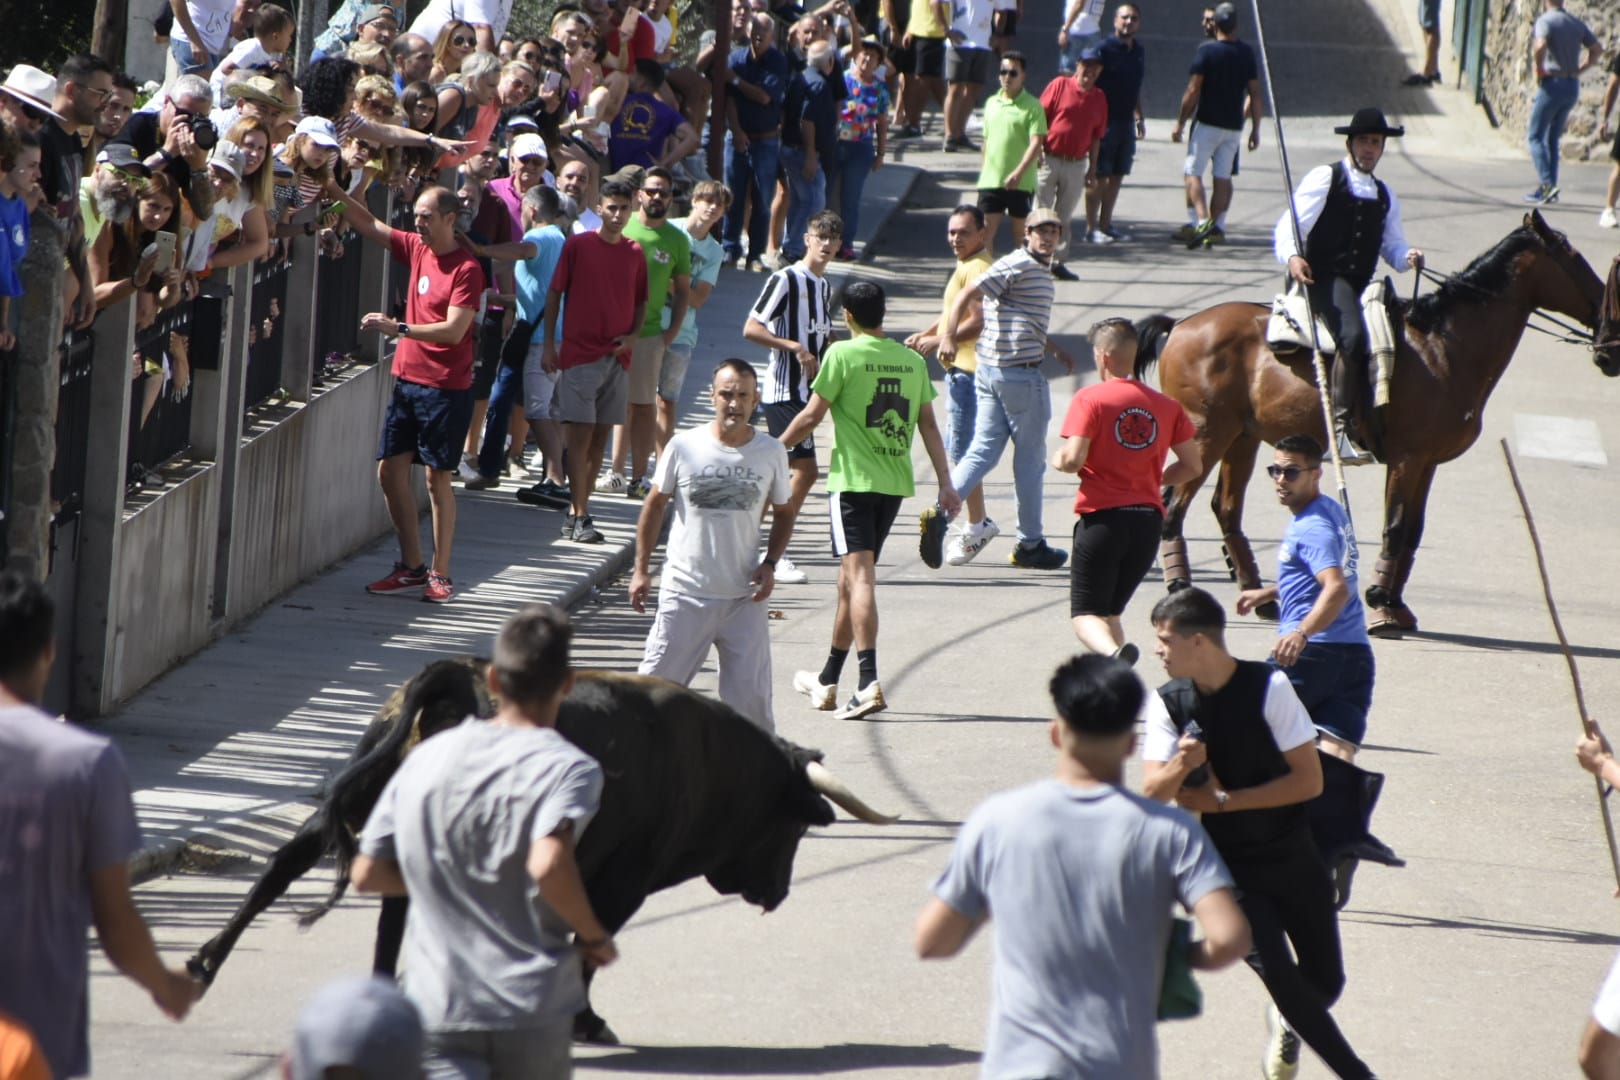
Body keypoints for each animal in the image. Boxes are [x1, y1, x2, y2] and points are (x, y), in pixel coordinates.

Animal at [192, 654, 900, 1042]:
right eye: (794, 828)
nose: (777, 891)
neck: (699, 756)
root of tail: (454, 679)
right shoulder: (619, 881)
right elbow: (589, 946)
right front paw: (586, 1021)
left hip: (354, 796)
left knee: (289, 868)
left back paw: (207, 964)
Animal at [1134, 208, 1613, 634]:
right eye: (1574, 257)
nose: (1610, 342)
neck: (1443, 349)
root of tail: (1182, 324)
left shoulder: (1428, 462)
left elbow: (1413, 531)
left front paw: (1396, 605)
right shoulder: (1407, 458)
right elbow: (1395, 527)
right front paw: (1381, 605)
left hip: (1242, 438)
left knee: (1225, 508)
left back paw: (1258, 598)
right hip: (1208, 434)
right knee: (1173, 505)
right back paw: (1180, 590)